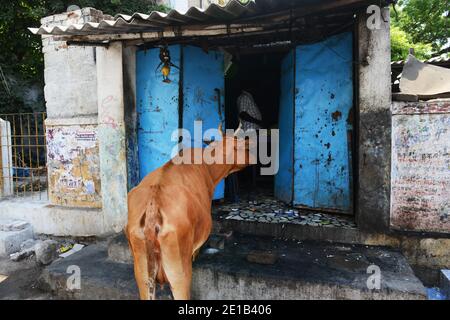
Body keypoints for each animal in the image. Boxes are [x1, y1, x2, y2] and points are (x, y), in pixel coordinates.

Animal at [125, 125, 253, 300]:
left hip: (143, 276)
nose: (253, 158)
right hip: (179, 273)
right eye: (245, 146)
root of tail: (153, 203)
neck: (208, 168)